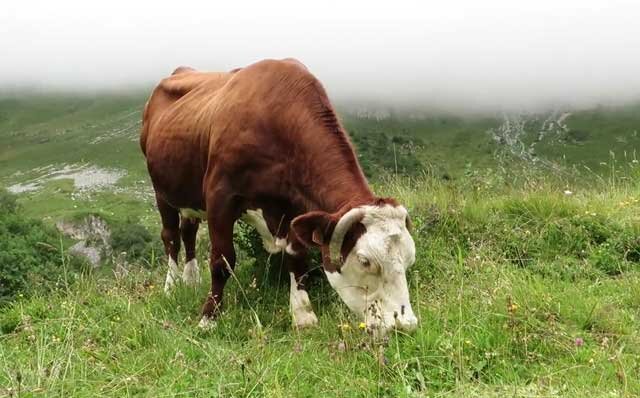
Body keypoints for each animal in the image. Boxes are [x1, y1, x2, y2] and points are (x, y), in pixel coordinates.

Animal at [141, 57, 420, 334]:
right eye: (364, 261)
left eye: (409, 258)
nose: (405, 326)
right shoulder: (220, 196)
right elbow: (222, 260)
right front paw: (208, 318)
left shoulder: (296, 207)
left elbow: (297, 258)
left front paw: (303, 316)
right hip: (161, 190)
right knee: (171, 237)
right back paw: (172, 285)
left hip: (189, 196)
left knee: (188, 232)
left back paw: (190, 279)